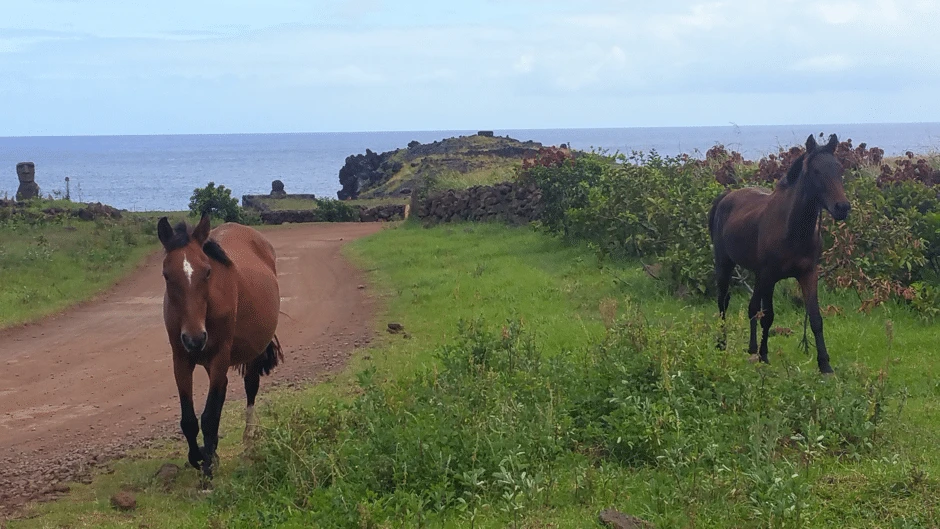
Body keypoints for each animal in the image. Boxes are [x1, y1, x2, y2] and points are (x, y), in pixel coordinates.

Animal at [157, 213, 283, 481]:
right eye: (167, 275)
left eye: (207, 272)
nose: (195, 338)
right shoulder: (180, 359)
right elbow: (189, 419)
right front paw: (199, 456)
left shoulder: (219, 357)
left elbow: (210, 416)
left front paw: (207, 470)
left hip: (252, 352)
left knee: (250, 387)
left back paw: (248, 441)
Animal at [708, 134, 850, 374]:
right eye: (816, 171)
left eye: (839, 169)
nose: (842, 207)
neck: (793, 230)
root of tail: (726, 196)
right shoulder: (769, 275)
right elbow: (767, 316)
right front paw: (763, 355)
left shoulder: (808, 274)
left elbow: (815, 318)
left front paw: (825, 365)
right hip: (725, 264)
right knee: (723, 303)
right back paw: (722, 343)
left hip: (756, 275)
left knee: (752, 307)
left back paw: (751, 348)